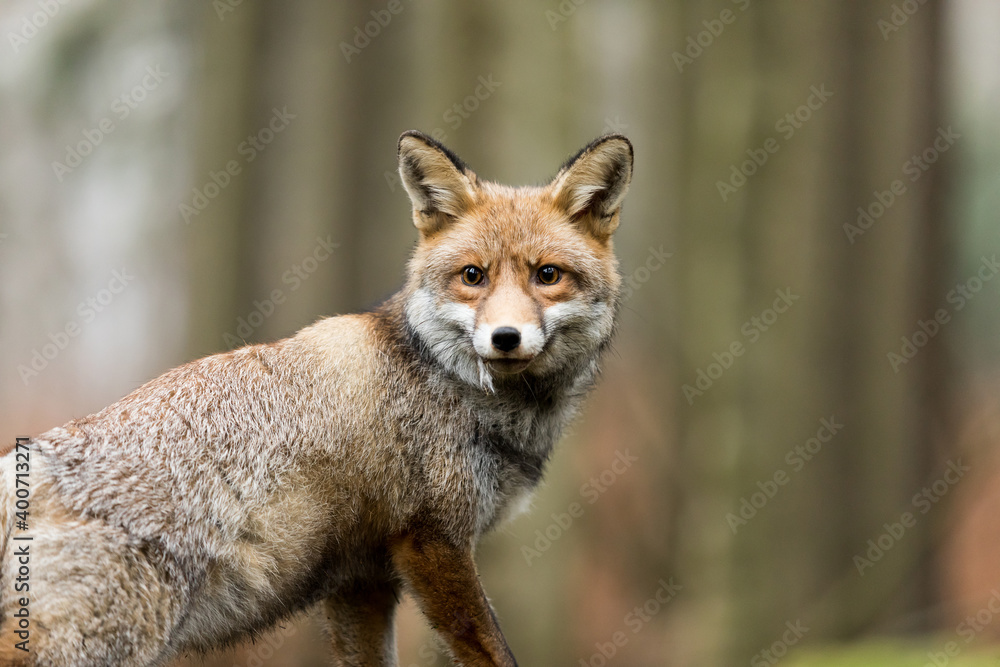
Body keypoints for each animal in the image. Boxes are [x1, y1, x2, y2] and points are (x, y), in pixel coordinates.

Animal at [0, 130, 633, 667]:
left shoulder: (364, 578)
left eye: (547, 275)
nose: (505, 338)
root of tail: (25, 465)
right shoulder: (436, 542)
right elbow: (493, 652)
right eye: (473, 276)